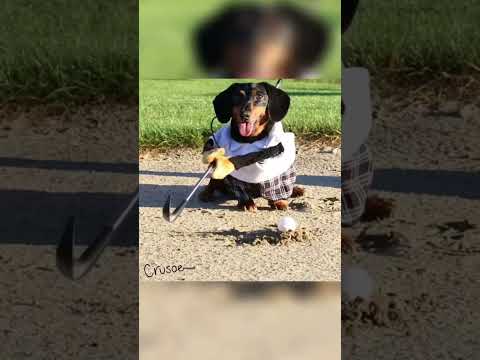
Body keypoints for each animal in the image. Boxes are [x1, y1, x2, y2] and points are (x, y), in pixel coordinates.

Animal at [199, 81, 304, 211]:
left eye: (259, 96)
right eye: (237, 96)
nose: (244, 115)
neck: (251, 140)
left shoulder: (278, 167)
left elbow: (277, 185)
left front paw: (279, 201)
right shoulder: (234, 173)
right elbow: (239, 188)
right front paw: (246, 202)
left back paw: (296, 190)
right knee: (213, 182)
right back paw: (206, 193)